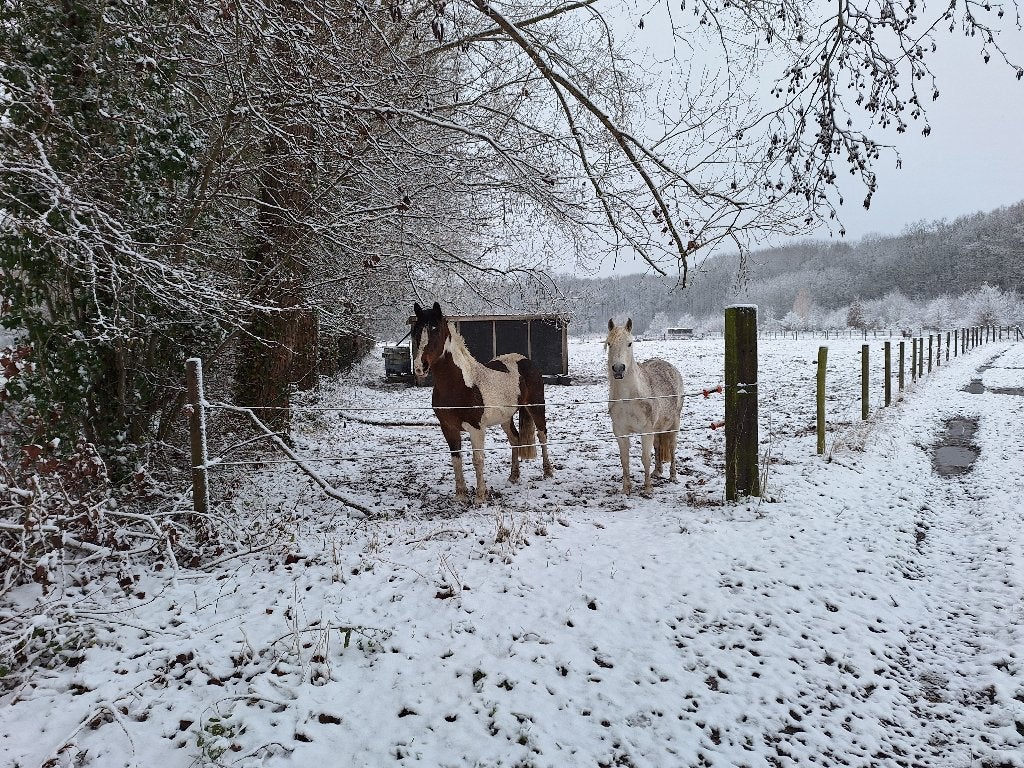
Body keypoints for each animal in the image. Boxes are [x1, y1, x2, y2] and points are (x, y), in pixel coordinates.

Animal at [411, 301, 553, 504]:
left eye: (435, 330)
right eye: (416, 332)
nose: (419, 367)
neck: (459, 384)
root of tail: (526, 361)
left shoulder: (476, 428)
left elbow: (477, 459)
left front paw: (480, 496)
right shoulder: (448, 428)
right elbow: (456, 459)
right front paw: (460, 495)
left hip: (536, 407)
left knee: (542, 436)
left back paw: (548, 472)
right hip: (505, 418)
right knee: (515, 440)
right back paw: (513, 477)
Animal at [605, 318, 685, 496]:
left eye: (630, 343)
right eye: (609, 344)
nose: (618, 369)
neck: (628, 398)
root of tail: (671, 368)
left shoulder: (646, 430)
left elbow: (645, 458)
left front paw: (648, 488)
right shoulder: (620, 431)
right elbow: (624, 459)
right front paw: (626, 488)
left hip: (674, 424)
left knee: (672, 447)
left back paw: (673, 476)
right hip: (658, 428)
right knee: (658, 446)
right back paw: (657, 471)